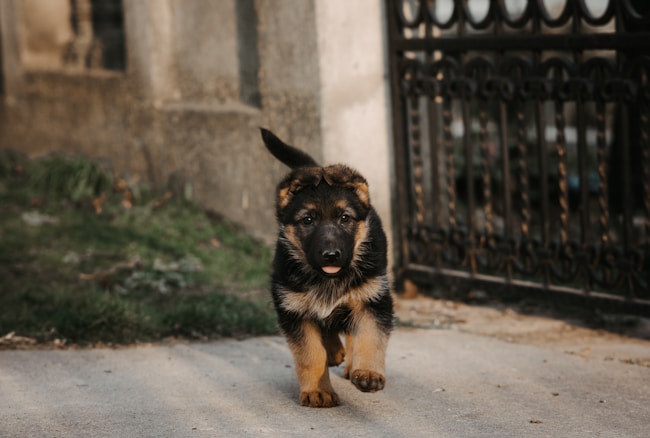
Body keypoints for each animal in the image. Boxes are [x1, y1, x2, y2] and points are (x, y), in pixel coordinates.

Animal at [260, 128, 392, 408]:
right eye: (308, 220)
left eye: (345, 218)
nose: (331, 255)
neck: (328, 279)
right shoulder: (293, 309)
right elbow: (310, 354)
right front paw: (318, 391)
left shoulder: (373, 299)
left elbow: (369, 337)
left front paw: (368, 373)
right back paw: (333, 352)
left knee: (351, 331)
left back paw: (351, 363)